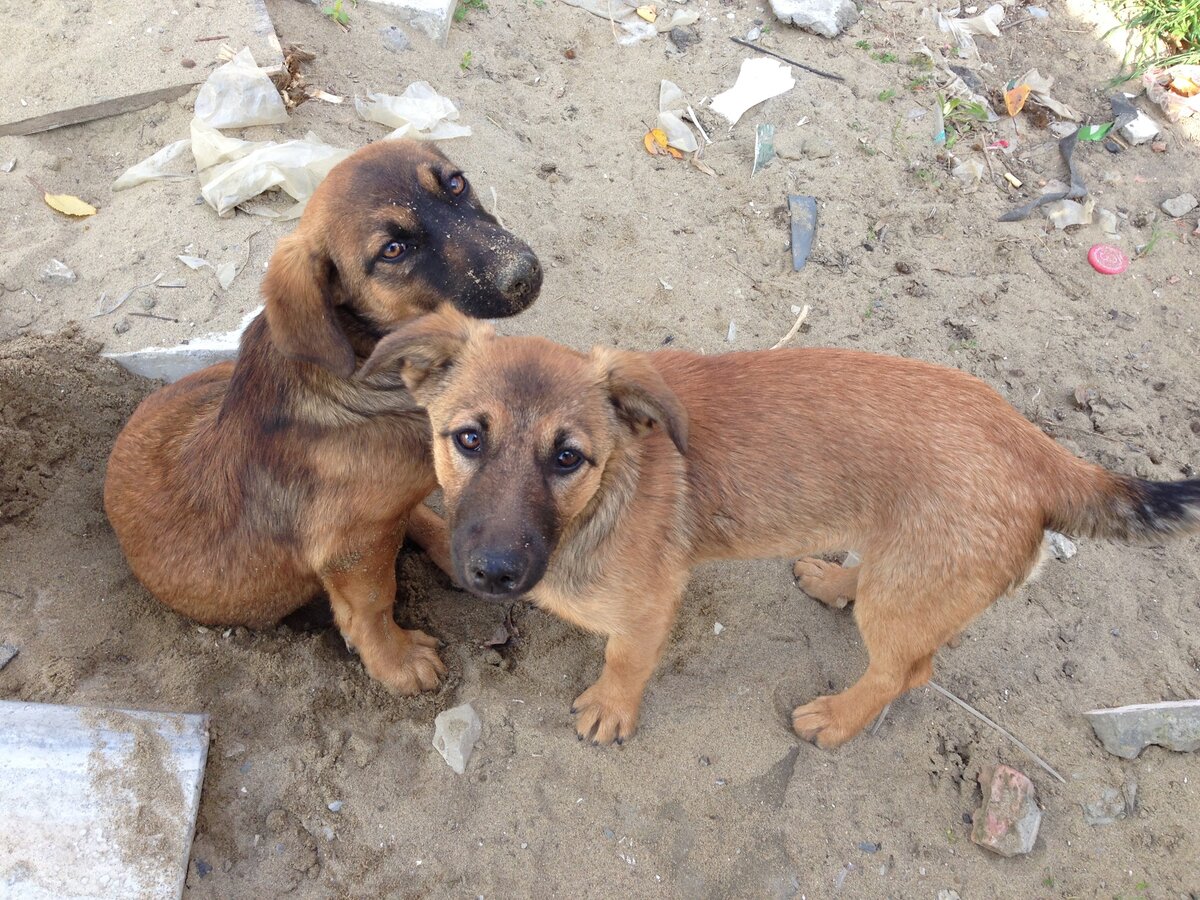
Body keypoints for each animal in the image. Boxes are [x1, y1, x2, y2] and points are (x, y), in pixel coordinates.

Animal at [103, 141, 544, 696]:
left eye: (456, 183)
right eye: (393, 250)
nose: (524, 273)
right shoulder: (351, 553)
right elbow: (373, 604)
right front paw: (397, 662)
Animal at [355, 309, 1200, 748]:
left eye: (568, 457)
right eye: (468, 438)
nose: (494, 573)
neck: (607, 493)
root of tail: (1038, 450)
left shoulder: (648, 607)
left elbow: (626, 660)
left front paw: (611, 708)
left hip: (907, 602)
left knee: (906, 671)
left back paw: (836, 718)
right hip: (903, 566)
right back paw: (835, 579)